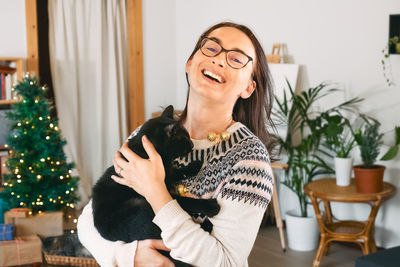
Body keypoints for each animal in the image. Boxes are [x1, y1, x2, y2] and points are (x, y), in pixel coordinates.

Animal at [92, 107, 220, 266]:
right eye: (184, 138)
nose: (191, 144)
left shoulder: (167, 175)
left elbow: (176, 171)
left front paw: (194, 166)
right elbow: (184, 201)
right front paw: (210, 206)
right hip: (141, 206)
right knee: (163, 238)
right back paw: (207, 226)